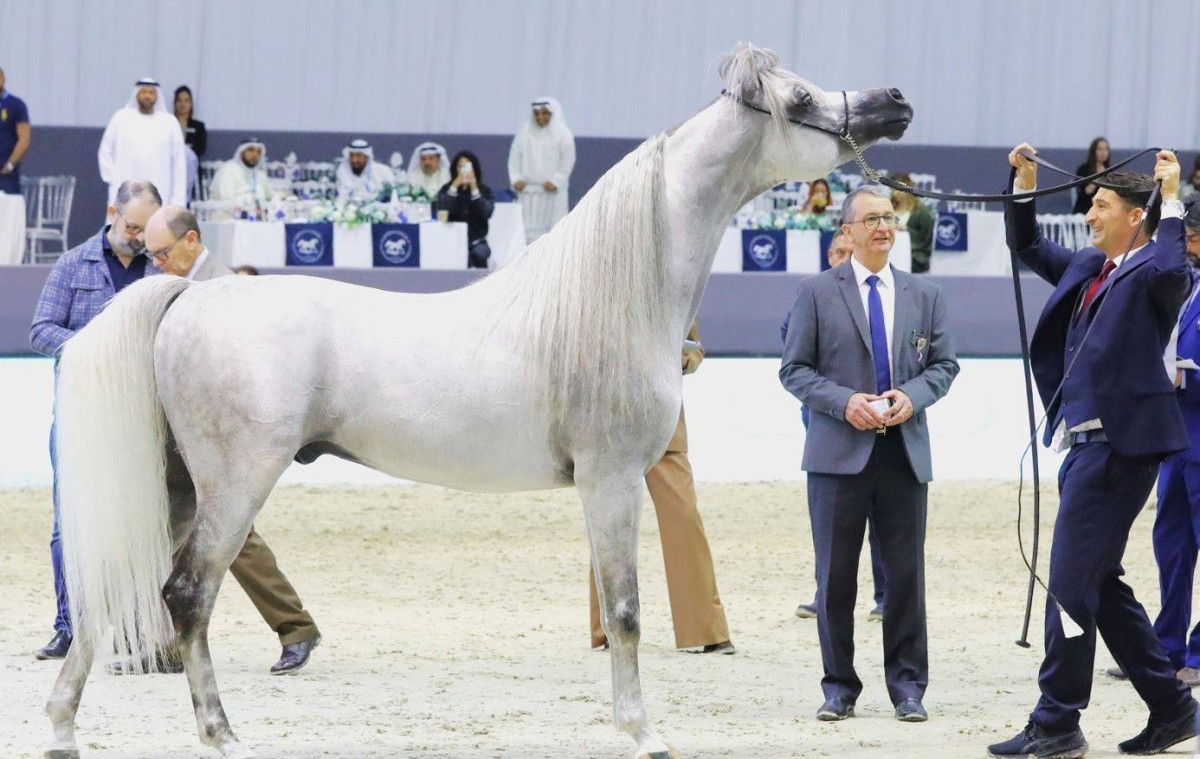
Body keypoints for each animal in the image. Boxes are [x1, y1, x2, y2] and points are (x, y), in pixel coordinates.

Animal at [44, 44, 907, 754]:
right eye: (799, 96)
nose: (895, 97)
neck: (614, 292)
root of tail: (190, 295)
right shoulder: (612, 479)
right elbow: (627, 609)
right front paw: (643, 733)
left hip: (172, 483)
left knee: (113, 584)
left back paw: (61, 728)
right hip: (235, 482)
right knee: (187, 594)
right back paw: (220, 732)